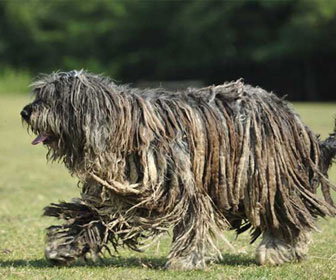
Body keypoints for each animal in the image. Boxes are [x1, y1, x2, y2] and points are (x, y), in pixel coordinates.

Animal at [21, 70, 336, 270]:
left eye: (52, 98)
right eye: (39, 94)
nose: (25, 111)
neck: (124, 126)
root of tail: (293, 118)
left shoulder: (182, 186)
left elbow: (192, 220)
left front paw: (186, 260)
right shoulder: (122, 194)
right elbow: (92, 217)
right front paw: (64, 246)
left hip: (267, 179)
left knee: (286, 216)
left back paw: (277, 250)